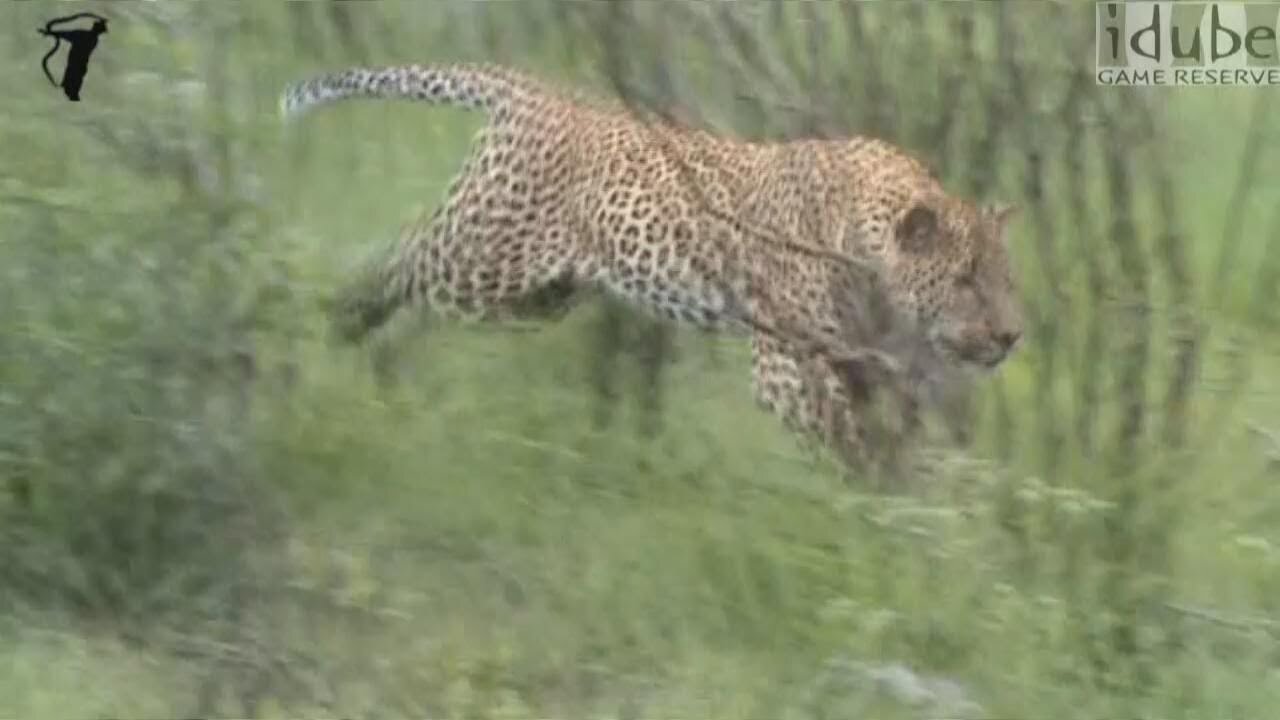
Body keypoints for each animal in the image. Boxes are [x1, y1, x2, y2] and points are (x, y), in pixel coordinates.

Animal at [280, 63, 1018, 471]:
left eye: (1006, 281)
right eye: (963, 279)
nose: (1011, 337)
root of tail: (539, 92)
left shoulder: (864, 363)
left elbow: (888, 431)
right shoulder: (787, 366)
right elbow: (850, 437)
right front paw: (882, 497)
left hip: (537, 293)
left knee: (420, 297)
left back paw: (381, 360)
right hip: (489, 255)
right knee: (408, 250)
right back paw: (345, 313)